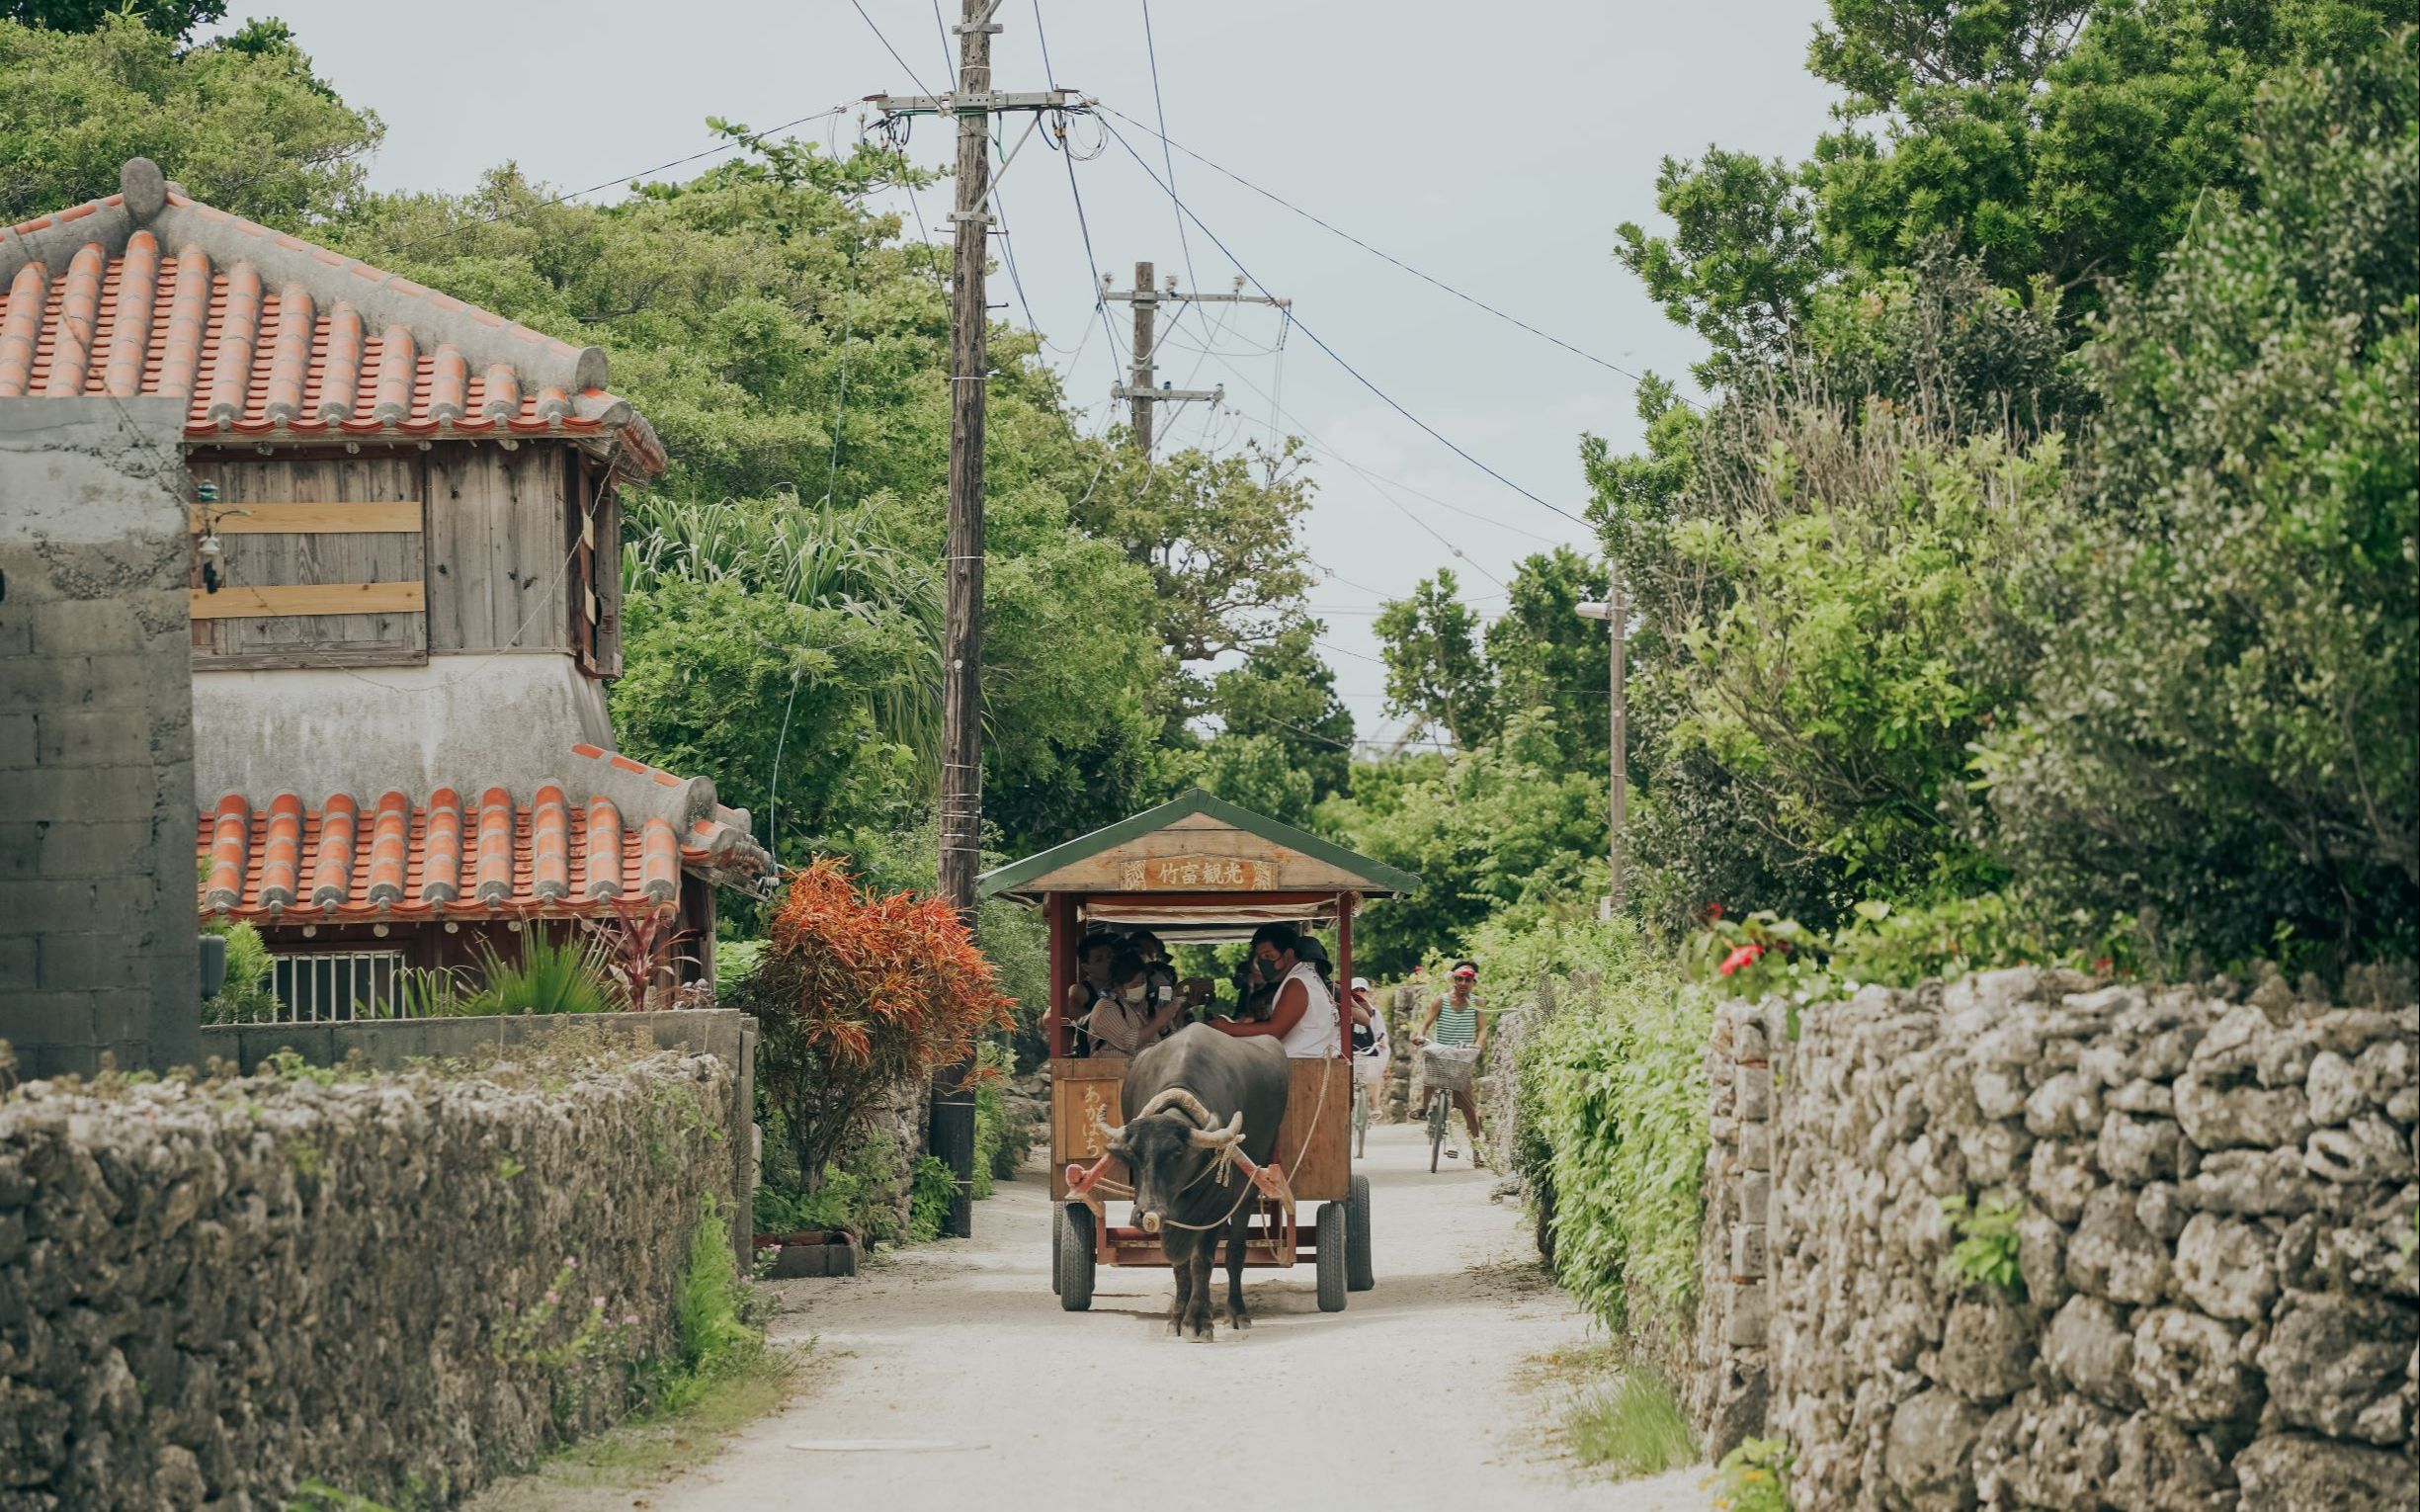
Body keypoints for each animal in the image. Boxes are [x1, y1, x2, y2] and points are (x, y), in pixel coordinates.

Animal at [1093, 1025, 1287, 1335]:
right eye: (1133, 1154)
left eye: (1178, 1153)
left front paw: (1197, 1320)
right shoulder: (1167, 1209)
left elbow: (1202, 1260)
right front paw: (1177, 1318)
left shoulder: (1214, 1206)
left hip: (1249, 1186)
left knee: (1235, 1251)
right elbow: (1180, 1265)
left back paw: (1237, 1313)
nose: (1146, 1214)